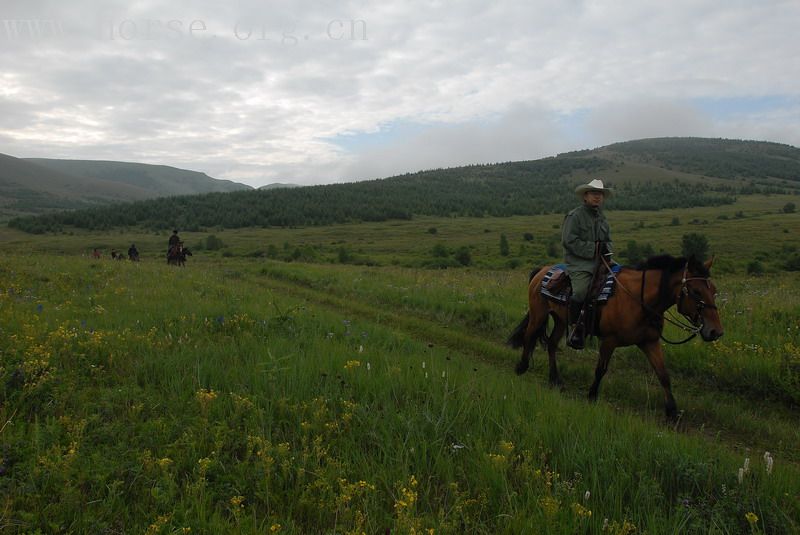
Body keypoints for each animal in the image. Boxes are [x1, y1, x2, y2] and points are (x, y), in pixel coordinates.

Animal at [506, 255, 724, 418]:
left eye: (714, 290)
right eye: (696, 291)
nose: (716, 331)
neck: (639, 299)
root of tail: (542, 270)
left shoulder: (649, 342)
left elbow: (663, 375)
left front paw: (672, 411)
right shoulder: (609, 341)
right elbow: (600, 370)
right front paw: (592, 396)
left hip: (560, 319)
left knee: (551, 344)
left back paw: (555, 380)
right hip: (539, 314)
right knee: (529, 336)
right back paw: (521, 367)